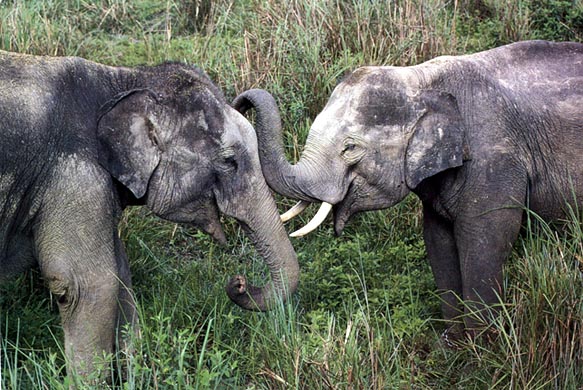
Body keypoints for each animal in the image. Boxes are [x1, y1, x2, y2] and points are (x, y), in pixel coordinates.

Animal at [0, 50, 298, 380]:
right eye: (229, 161)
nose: (239, 282)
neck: (124, 79)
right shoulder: (73, 176)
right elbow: (87, 285)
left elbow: (120, 276)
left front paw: (134, 375)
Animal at [234, 40, 583, 342]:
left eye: (350, 148)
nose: (238, 283)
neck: (420, 78)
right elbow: (438, 240)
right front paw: (453, 344)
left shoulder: (494, 159)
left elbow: (486, 239)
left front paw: (482, 351)